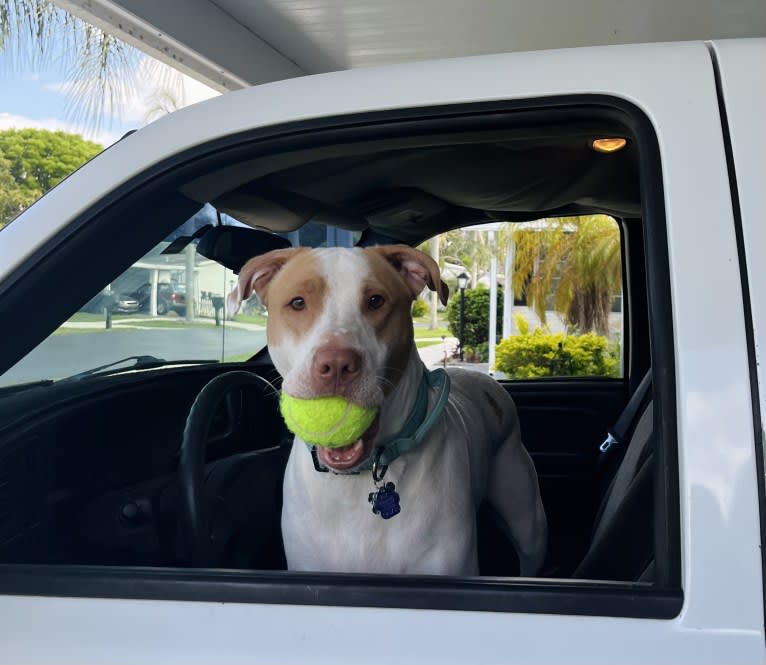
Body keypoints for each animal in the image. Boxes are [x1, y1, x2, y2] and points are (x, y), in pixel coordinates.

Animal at [225, 244, 548, 576]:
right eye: (298, 302)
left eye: (375, 301)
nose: (336, 364)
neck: (355, 479)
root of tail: (484, 380)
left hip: (527, 519)